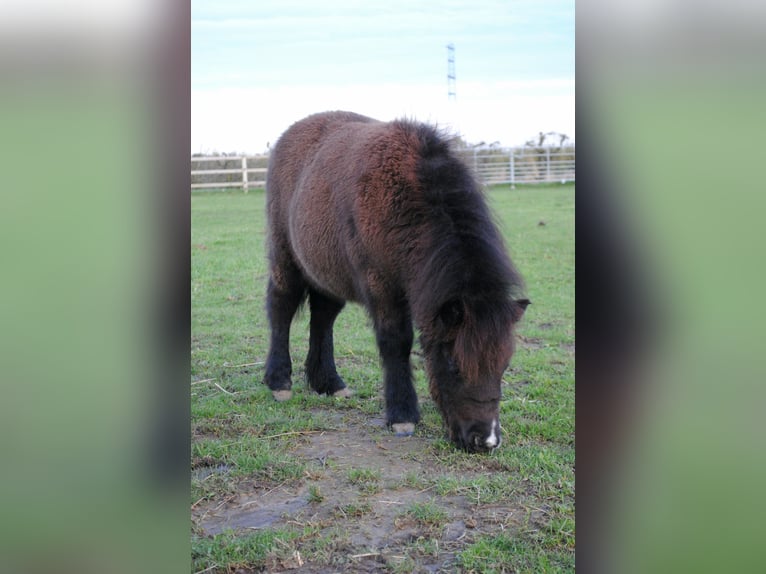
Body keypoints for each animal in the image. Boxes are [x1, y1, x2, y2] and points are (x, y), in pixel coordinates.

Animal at [262, 111, 528, 454]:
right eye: (454, 365)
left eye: (504, 365)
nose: (485, 440)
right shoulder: (383, 288)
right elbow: (396, 342)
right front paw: (402, 414)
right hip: (286, 258)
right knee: (281, 307)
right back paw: (279, 381)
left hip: (328, 271)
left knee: (322, 317)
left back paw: (328, 382)